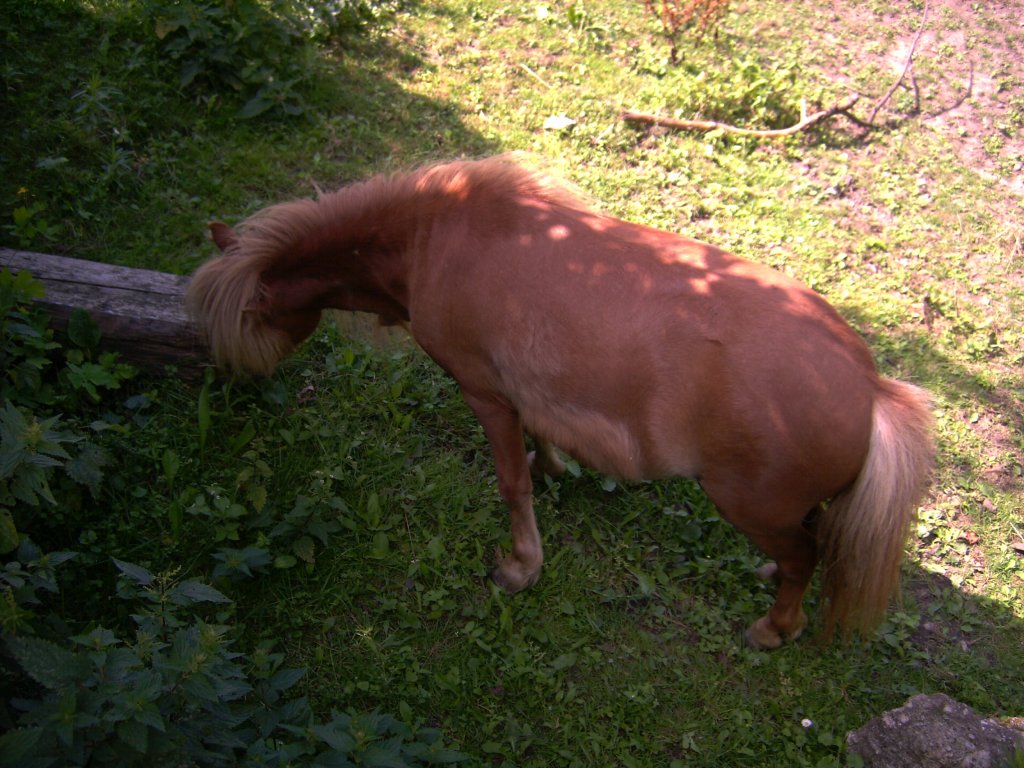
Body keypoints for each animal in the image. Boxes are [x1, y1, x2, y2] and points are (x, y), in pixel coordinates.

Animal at [188, 154, 933, 651]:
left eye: (247, 324)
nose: (227, 387)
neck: (432, 237)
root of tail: (871, 389)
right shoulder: (524, 392)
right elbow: (540, 441)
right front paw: (554, 469)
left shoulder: (482, 391)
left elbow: (510, 482)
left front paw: (521, 565)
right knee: (811, 544)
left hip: (748, 503)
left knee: (808, 559)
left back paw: (774, 627)